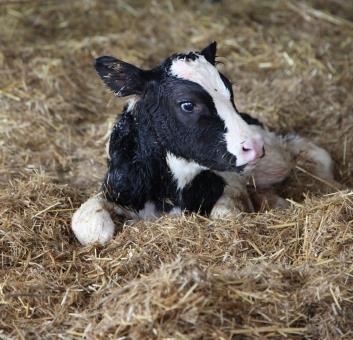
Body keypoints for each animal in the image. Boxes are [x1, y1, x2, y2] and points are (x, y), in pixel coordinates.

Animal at [71, 41, 332, 244]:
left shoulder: (230, 181)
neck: (172, 191)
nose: (255, 147)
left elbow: (225, 213)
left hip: (273, 159)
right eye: (187, 104)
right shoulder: (118, 187)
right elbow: (92, 229)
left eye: (230, 92)